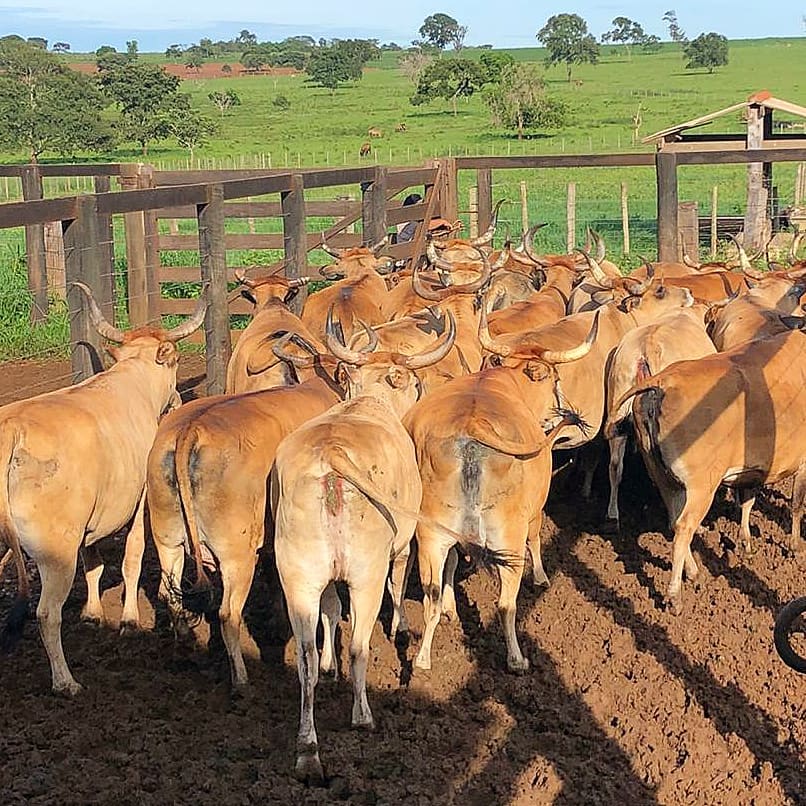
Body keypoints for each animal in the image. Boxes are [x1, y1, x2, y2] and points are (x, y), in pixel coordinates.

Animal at [624, 328, 806, 612]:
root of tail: (662, 382)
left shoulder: (750, 470)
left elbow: (747, 503)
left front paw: (746, 544)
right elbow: (796, 505)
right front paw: (795, 546)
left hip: (664, 478)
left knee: (674, 520)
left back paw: (694, 572)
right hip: (701, 487)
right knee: (683, 528)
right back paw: (674, 596)